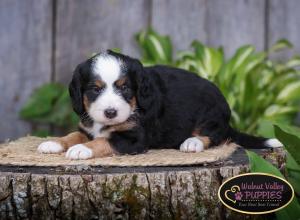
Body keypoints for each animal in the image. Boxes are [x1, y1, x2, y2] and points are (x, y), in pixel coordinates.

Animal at [37, 50, 282, 160]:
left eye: (125, 88)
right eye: (95, 89)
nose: (110, 112)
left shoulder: (133, 137)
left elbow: (103, 141)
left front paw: (81, 149)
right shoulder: (87, 127)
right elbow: (73, 134)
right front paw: (54, 143)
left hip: (211, 114)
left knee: (214, 136)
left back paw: (192, 142)